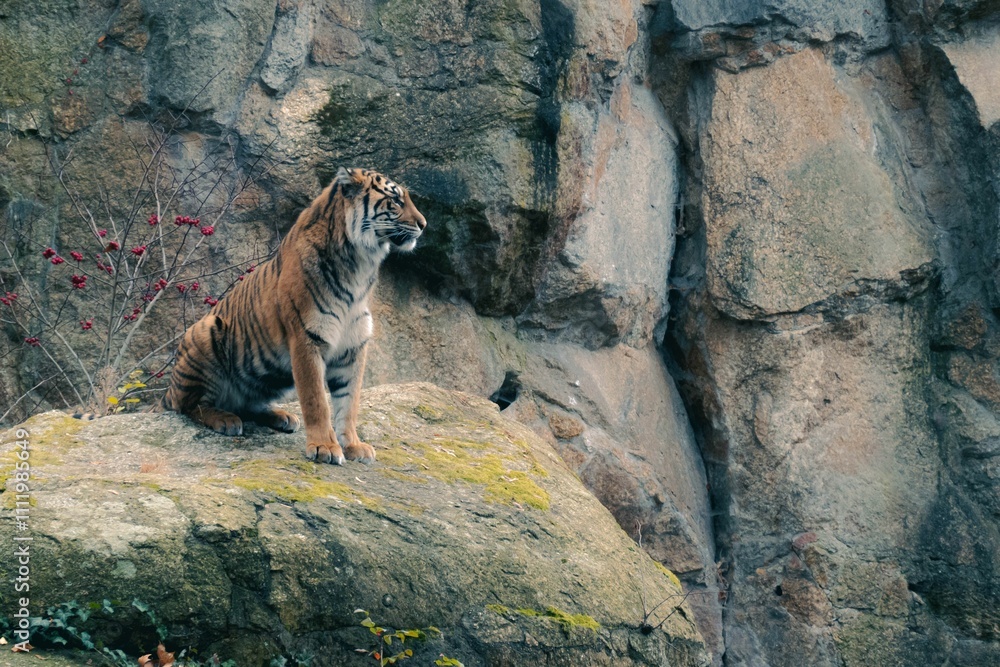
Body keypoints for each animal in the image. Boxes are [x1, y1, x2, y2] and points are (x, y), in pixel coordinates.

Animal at [160, 167, 426, 464]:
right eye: (395, 201)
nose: (424, 224)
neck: (360, 266)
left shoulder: (353, 348)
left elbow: (349, 403)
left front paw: (354, 445)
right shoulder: (306, 338)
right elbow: (316, 401)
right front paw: (324, 447)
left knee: (246, 403)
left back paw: (281, 416)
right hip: (204, 331)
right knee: (189, 404)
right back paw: (225, 419)